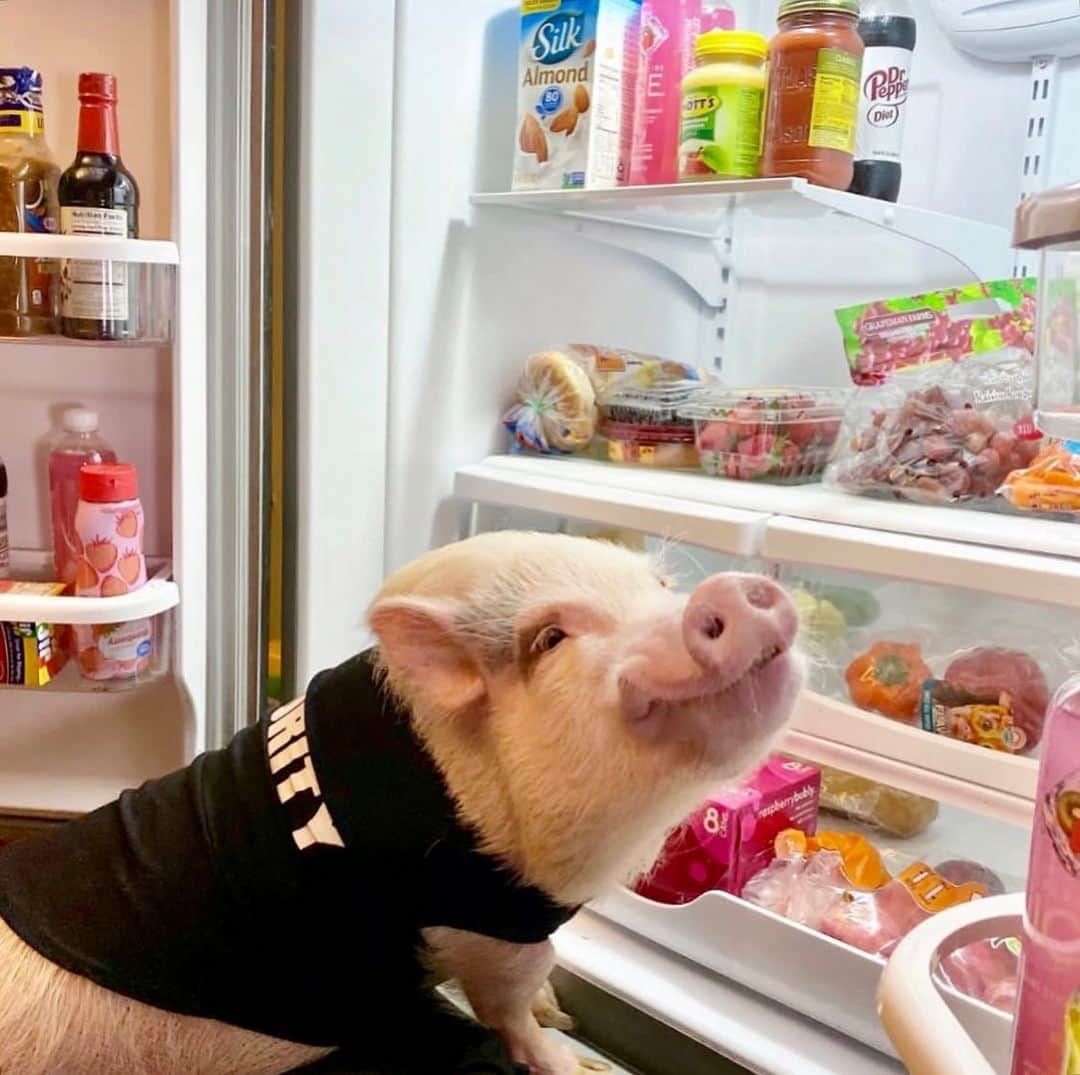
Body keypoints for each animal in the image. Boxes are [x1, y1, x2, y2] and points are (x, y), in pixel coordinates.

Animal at [0, 533, 803, 1071]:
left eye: (663, 584)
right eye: (549, 638)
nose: (730, 592)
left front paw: (563, 1013)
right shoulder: (491, 923)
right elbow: (511, 1003)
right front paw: (571, 1056)